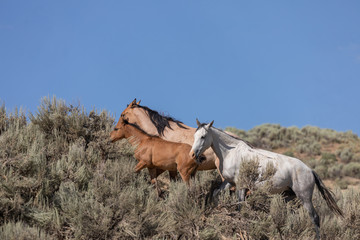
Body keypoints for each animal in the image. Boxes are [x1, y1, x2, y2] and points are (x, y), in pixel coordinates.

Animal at [188, 119, 344, 239]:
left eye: (203, 136)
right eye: (195, 135)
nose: (194, 155)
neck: (231, 152)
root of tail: (310, 170)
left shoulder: (241, 185)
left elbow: (240, 207)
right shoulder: (229, 182)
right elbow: (215, 194)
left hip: (304, 197)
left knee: (315, 217)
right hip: (289, 197)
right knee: (291, 217)